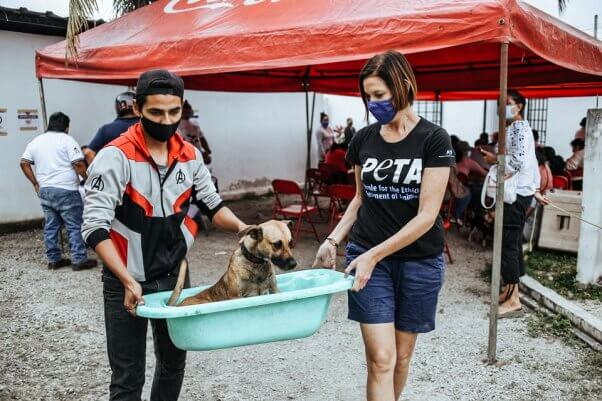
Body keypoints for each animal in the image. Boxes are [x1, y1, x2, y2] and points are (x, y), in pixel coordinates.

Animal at [165, 219, 296, 306]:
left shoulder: (274, 290)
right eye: (277, 244)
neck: (256, 264)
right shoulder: (236, 297)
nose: (294, 264)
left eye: (290, 243)